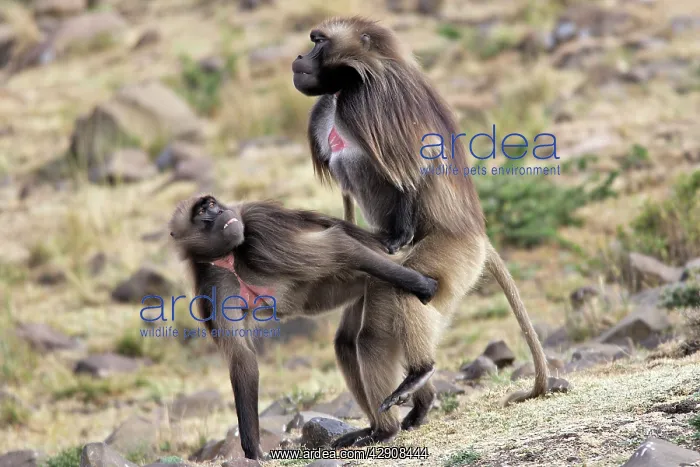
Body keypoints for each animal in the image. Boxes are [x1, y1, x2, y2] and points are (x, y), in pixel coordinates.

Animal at [169, 194, 439, 459]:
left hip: (383, 280)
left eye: (212, 204)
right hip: (365, 288)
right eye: (203, 212)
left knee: (370, 340)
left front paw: (423, 285)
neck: (229, 257)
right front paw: (253, 449)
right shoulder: (211, 285)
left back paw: (397, 412)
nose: (222, 213)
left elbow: (338, 245)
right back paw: (402, 412)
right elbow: (241, 357)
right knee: (346, 345)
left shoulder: (260, 230)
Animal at [292, 16, 563, 447]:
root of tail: (480, 237)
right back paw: (402, 414)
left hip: (454, 257)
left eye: (319, 42)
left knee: (398, 306)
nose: (299, 57)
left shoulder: (367, 103)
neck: (357, 79)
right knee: (351, 340)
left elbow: (413, 168)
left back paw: (410, 390)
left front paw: (398, 232)